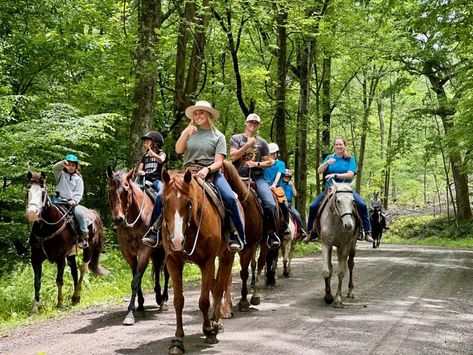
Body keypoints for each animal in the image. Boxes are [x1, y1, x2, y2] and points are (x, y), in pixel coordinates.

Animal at [26, 172, 108, 314]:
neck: (46, 228)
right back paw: (75, 297)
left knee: (83, 269)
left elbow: (59, 280)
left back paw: (76, 296)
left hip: (89, 249)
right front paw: (35, 308)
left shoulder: (60, 258)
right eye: (28, 190)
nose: (32, 213)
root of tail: (93, 213)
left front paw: (59, 303)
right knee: (74, 271)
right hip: (71, 254)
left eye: (43, 192)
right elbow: (37, 282)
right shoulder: (35, 259)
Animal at [106, 168, 169, 326]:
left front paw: (129, 314)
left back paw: (164, 300)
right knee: (157, 270)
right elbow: (136, 278)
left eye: (126, 190)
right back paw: (158, 296)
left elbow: (136, 281)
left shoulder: (144, 251)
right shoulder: (129, 254)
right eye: (110, 190)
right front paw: (139, 305)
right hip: (156, 252)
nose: (118, 219)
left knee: (166, 272)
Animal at [161, 170, 236, 355]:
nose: (177, 241)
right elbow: (178, 301)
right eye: (164, 202)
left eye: (189, 203)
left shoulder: (207, 262)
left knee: (219, 289)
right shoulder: (173, 263)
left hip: (226, 256)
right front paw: (178, 340)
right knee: (216, 287)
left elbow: (204, 301)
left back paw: (217, 324)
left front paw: (209, 331)